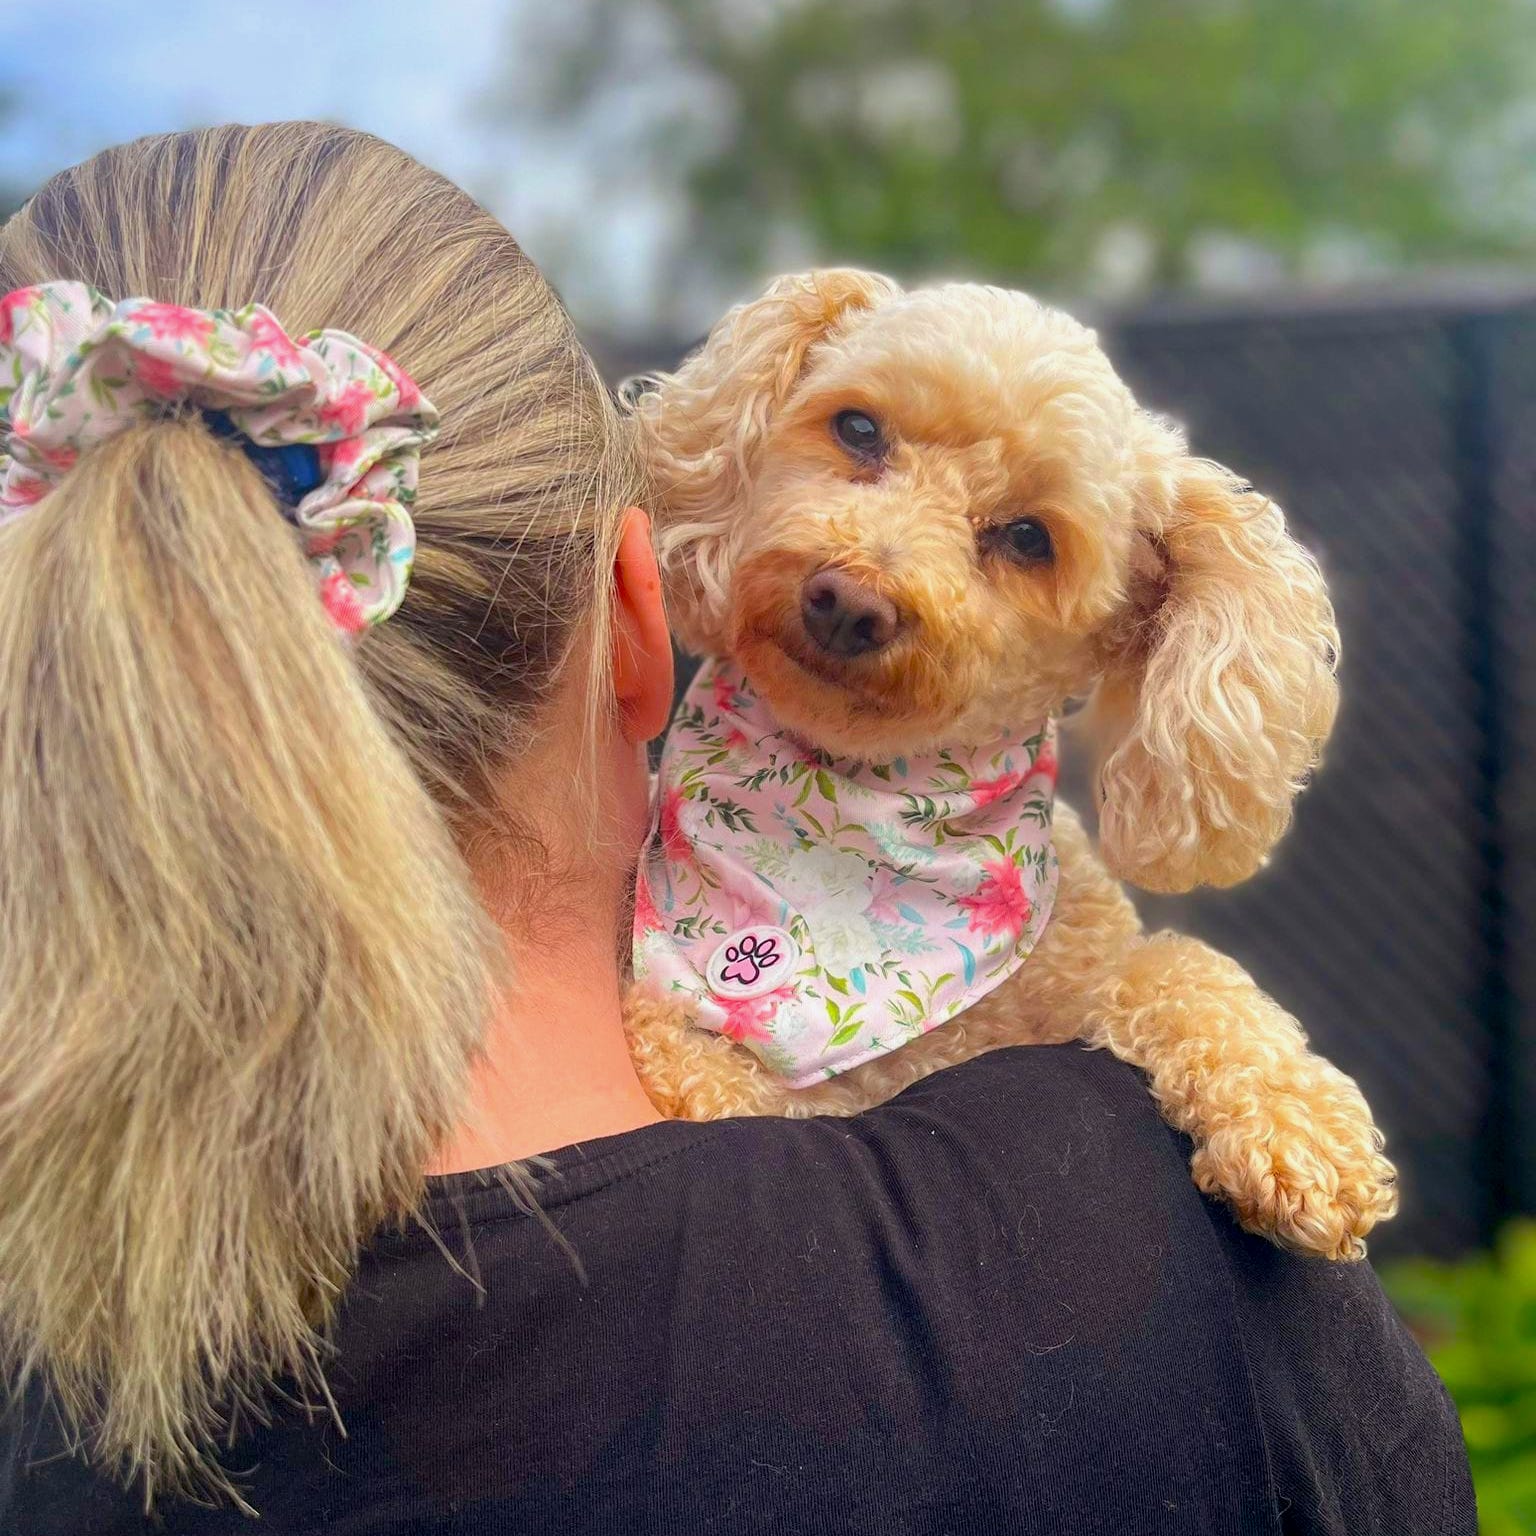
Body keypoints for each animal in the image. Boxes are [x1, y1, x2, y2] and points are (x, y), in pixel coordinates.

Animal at [617, 270, 1400, 1259]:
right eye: (858, 429)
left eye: (1031, 538)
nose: (849, 600)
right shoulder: (678, 1027)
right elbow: (706, 1066)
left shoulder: (1087, 967)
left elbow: (1181, 967)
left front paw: (1299, 1128)